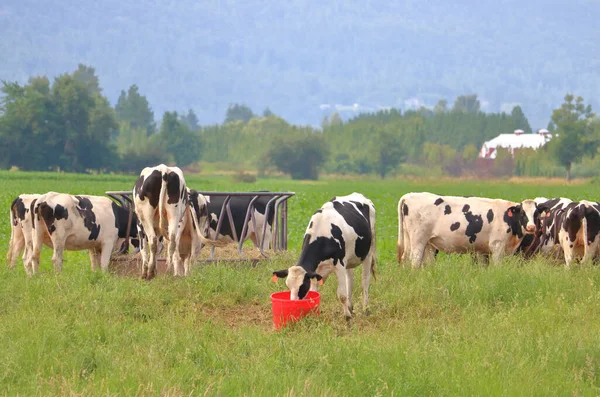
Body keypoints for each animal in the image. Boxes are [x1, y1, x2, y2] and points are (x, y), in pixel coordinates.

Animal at [398, 191, 540, 268]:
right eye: (522, 213)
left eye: (536, 213)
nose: (531, 227)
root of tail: (409, 195)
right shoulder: (497, 246)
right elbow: (497, 267)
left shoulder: (482, 250)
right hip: (418, 240)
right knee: (415, 260)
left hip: (423, 242)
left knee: (412, 259)